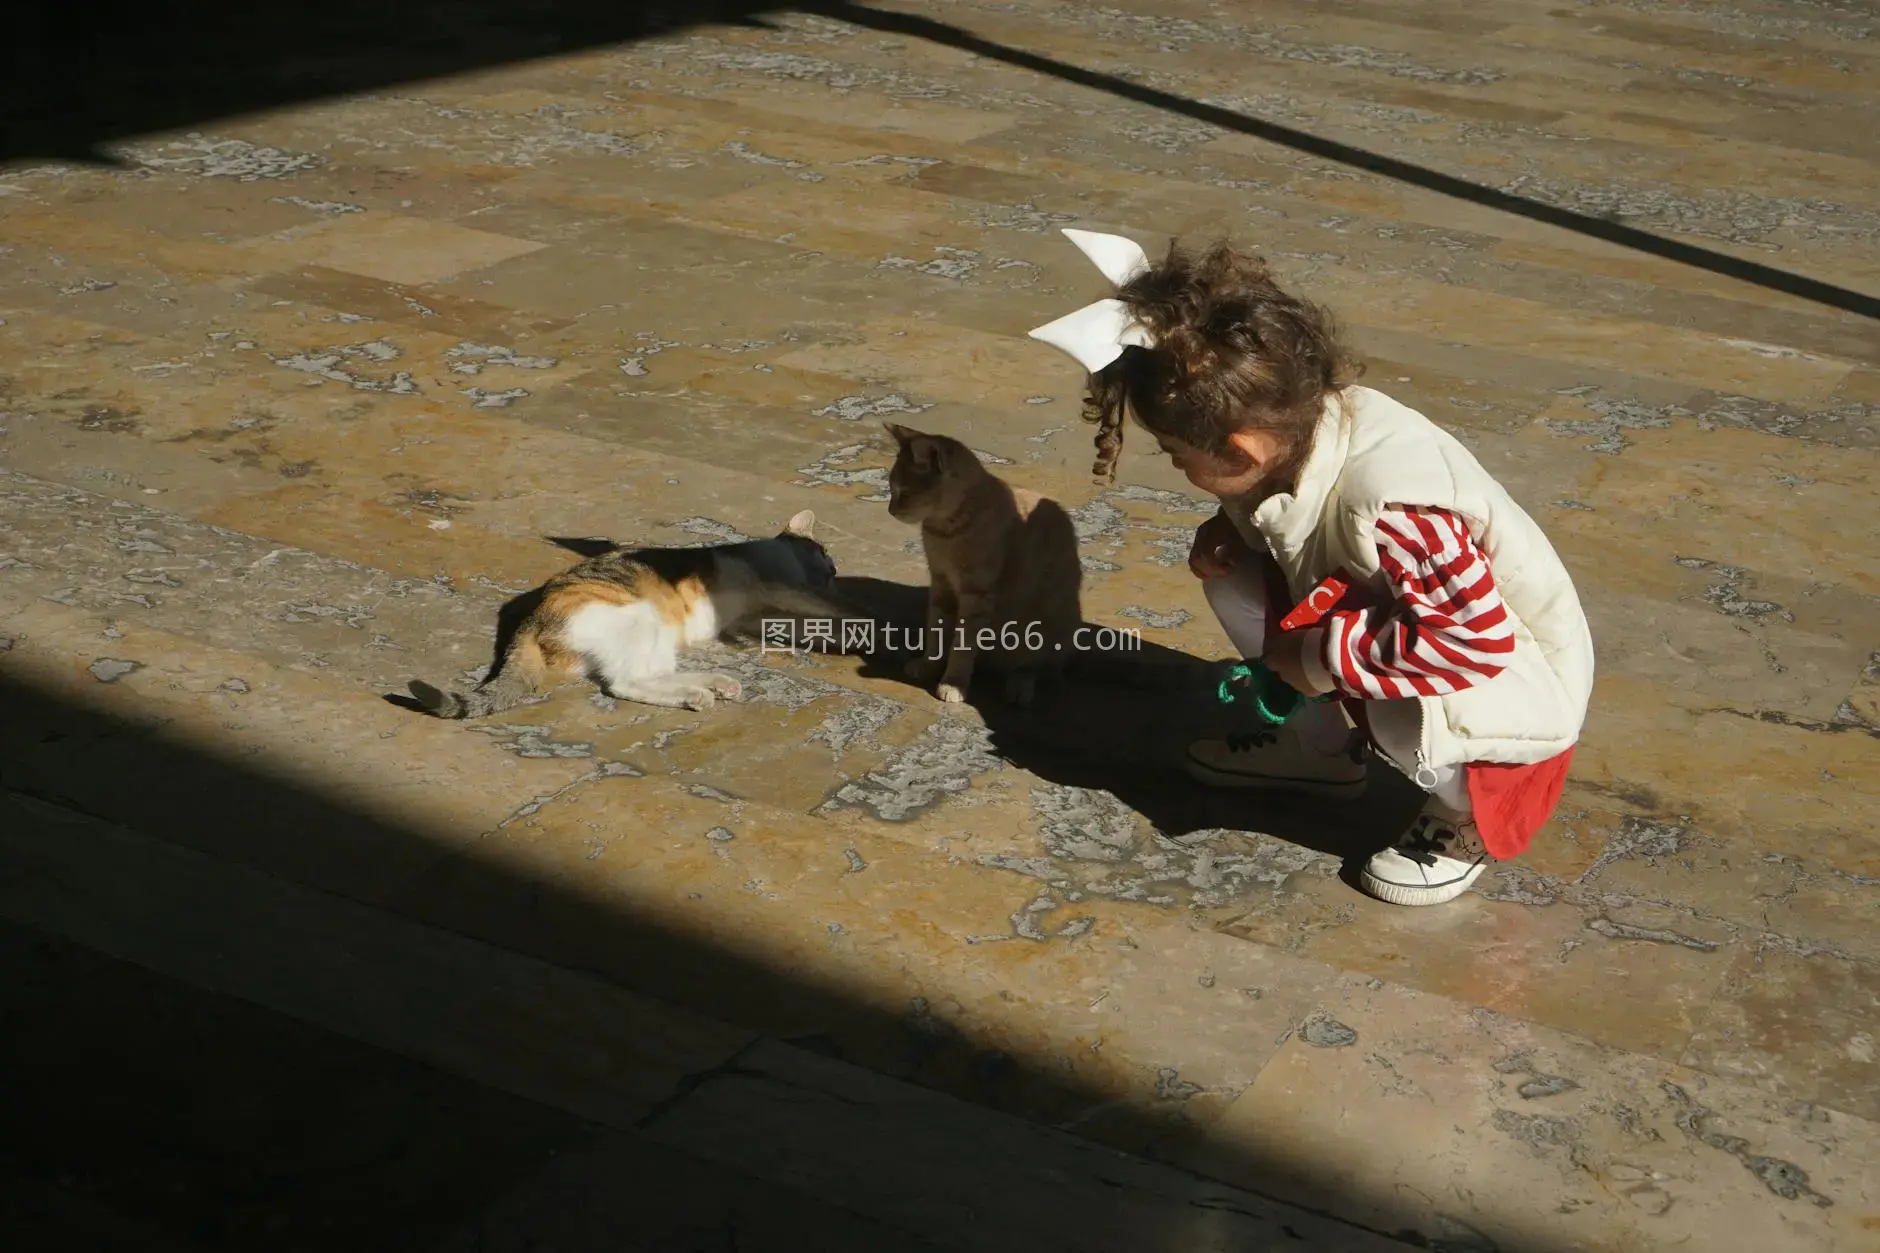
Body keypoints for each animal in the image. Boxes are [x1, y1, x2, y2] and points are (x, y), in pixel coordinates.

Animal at [415, 507, 857, 718]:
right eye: (824, 552)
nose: (835, 572)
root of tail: (531, 621)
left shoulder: (755, 613)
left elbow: (795, 623)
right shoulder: (780, 587)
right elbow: (821, 607)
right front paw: (851, 620)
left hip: (655, 637)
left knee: (645, 676)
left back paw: (712, 686)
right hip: (640, 618)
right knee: (624, 683)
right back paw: (700, 693)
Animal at [883, 421, 1082, 703]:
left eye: (905, 494)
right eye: (891, 489)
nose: (890, 510)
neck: (944, 531)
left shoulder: (976, 593)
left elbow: (962, 644)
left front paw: (953, 683)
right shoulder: (941, 583)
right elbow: (936, 628)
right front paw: (930, 664)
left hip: (1047, 623)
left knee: (1040, 668)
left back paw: (1020, 685)